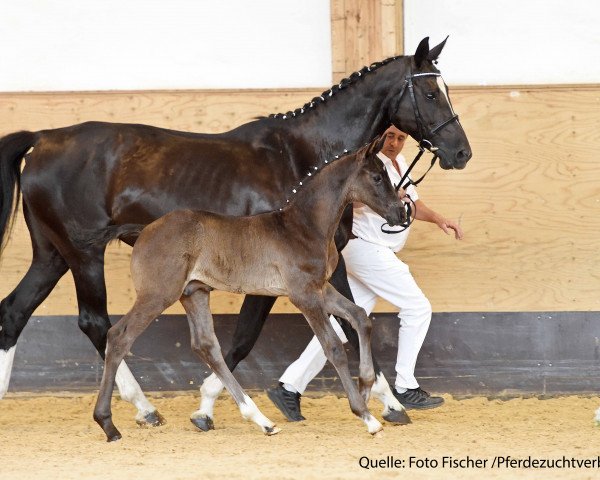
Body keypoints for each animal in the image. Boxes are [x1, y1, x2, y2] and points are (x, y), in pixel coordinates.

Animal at [92, 137, 404, 440]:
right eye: (377, 177)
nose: (401, 213)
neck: (304, 226)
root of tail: (143, 230)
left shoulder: (320, 289)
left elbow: (361, 318)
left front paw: (368, 387)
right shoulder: (304, 295)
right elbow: (334, 347)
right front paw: (366, 416)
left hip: (194, 293)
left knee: (206, 346)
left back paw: (261, 421)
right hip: (158, 294)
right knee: (118, 336)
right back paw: (109, 424)